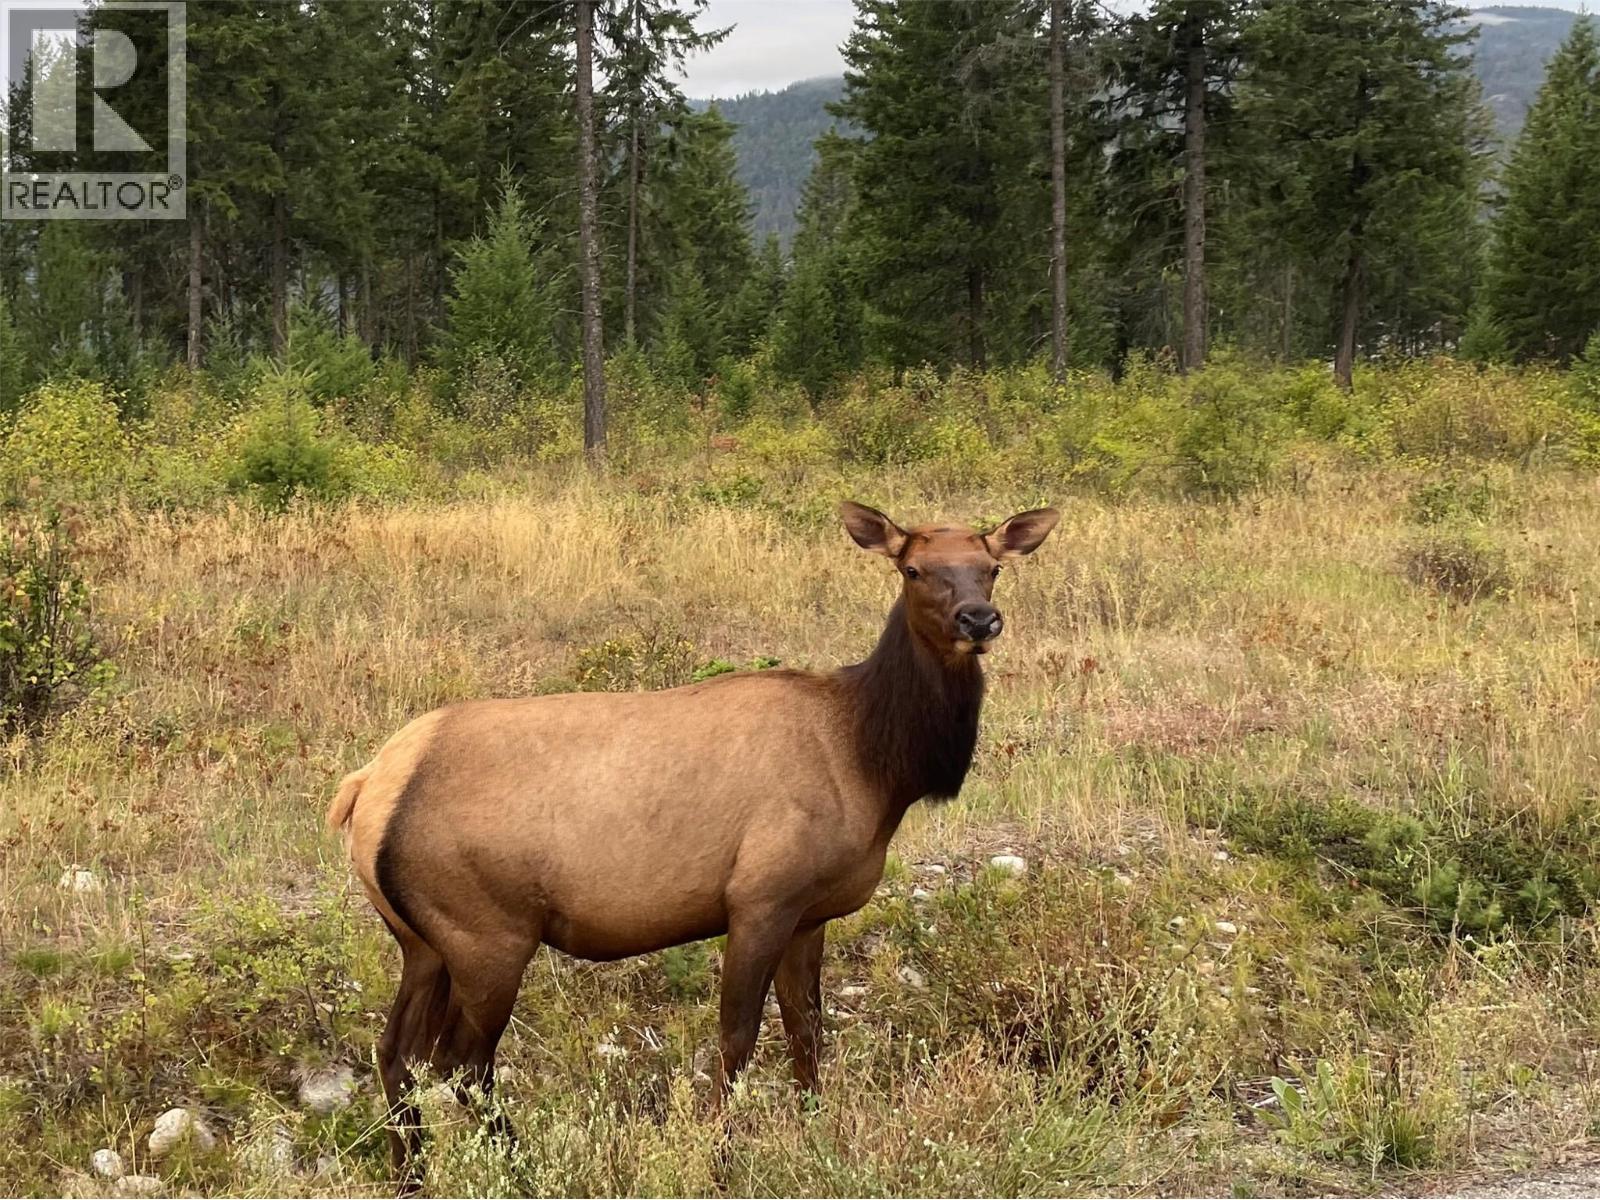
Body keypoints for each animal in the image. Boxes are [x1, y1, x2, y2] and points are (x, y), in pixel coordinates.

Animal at [327, 500, 1059, 1178]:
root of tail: (367, 788)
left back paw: (412, 1174)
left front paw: (820, 1134)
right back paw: (523, 1166)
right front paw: (720, 1158)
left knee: (396, 1052)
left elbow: (807, 1030)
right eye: (913, 569)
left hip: (423, 940)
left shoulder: (809, 911)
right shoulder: (761, 897)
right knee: (460, 1062)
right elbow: (737, 1038)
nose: (979, 620)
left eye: (991, 567)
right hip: (489, 932)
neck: (875, 765)